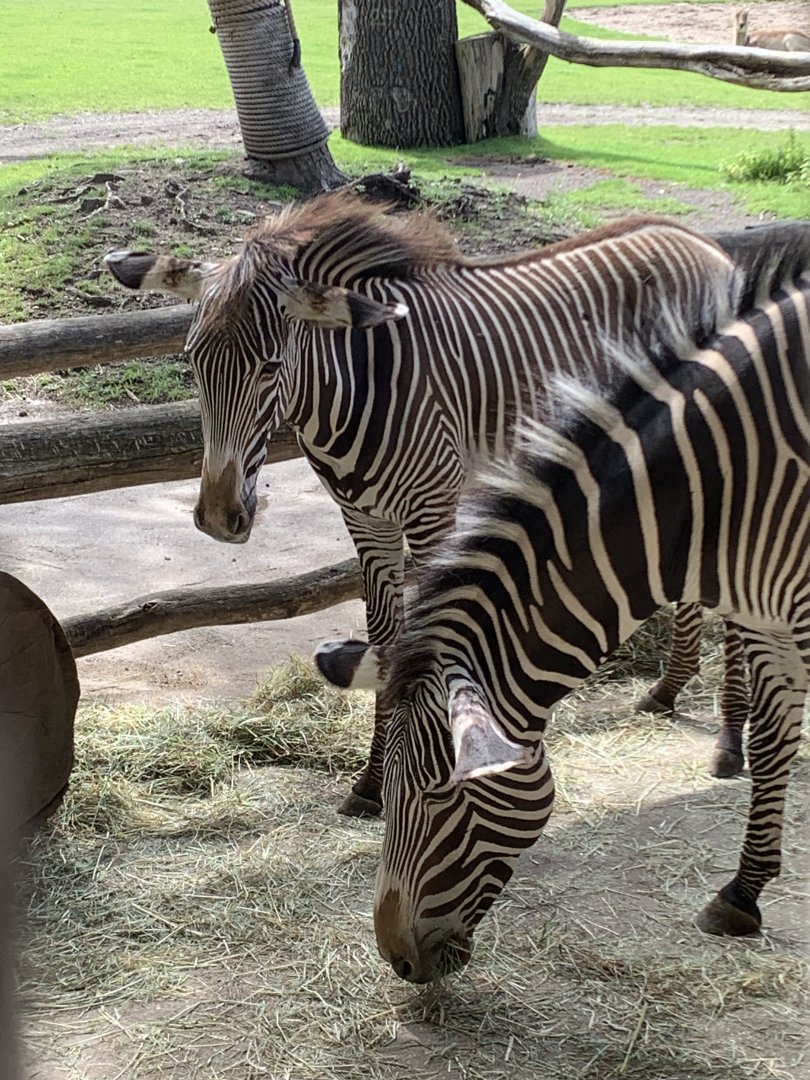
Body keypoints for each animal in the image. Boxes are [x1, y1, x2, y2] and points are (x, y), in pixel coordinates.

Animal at [105, 198, 785, 813]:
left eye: (271, 367)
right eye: (191, 360)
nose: (220, 521)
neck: (356, 384)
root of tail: (705, 245)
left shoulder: (433, 512)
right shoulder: (365, 520)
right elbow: (383, 634)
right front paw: (372, 783)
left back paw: (729, 741)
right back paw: (668, 691)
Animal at [367, 237, 810, 983]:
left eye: (438, 795)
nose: (396, 960)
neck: (725, 480)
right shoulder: (768, 617)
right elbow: (777, 741)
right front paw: (742, 893)